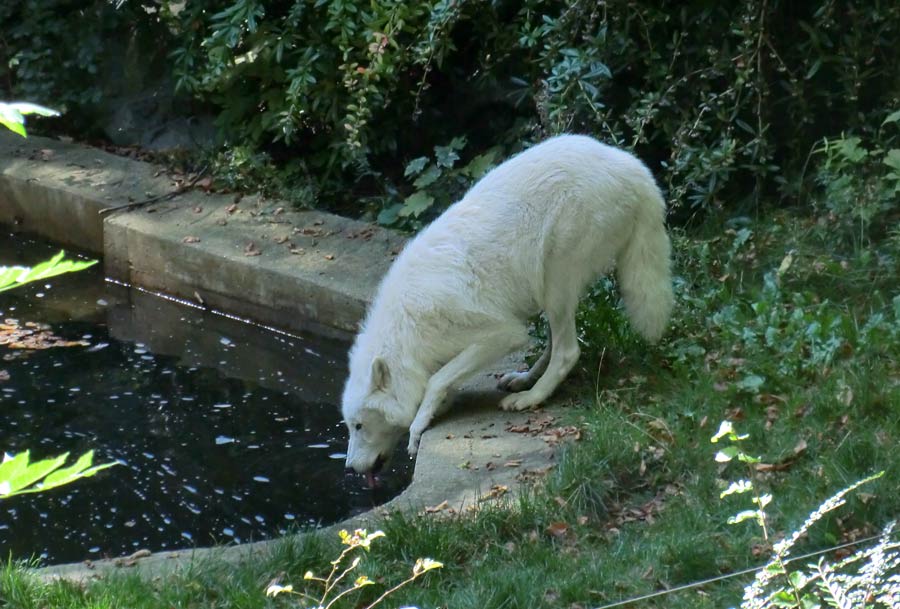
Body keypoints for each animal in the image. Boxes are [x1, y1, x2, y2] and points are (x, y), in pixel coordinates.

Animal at [342, 135, 672, 482]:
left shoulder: (502, 334)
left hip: (555, 281)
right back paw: (524, 379)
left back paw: (529, 398)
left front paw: (418, 427)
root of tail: (634, 167)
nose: (348, 468)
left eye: (358, 426)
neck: (407, 329)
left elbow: (437, 380)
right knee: (557, 344)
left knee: (568, 351)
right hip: (550, 291)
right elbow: (443, 380)